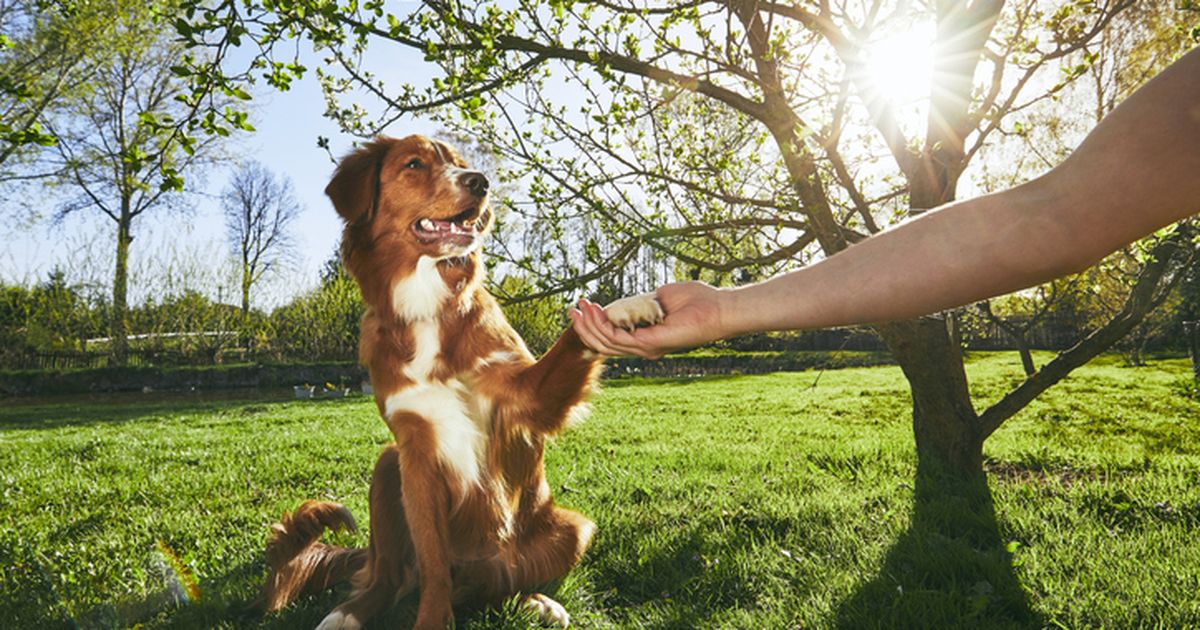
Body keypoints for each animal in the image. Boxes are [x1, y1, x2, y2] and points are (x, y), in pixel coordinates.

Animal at [259, 135, 667, 624]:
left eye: (460, 163)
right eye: (414, 164)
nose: (481, 182)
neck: (428, 307)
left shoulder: (526, 398)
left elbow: (574, 337)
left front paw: (623, 310)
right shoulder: (415, 449)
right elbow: (434, 566)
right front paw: (432, 620)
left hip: (572, 529)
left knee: (496, 586)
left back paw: (537, 602)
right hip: (387, 465)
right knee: (391, 578)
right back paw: (349, 612)